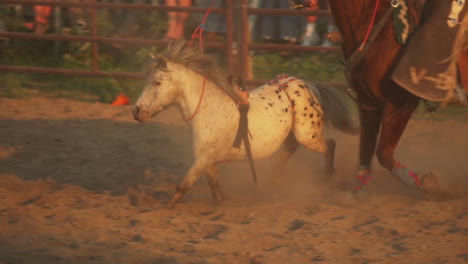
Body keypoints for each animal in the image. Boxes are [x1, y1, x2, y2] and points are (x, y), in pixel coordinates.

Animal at [133, 40, 356, 208]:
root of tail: (310, 85)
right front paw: (221, 201)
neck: (209, 109)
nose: (136, 112)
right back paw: (270, 186)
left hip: (307, 134)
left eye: (157, 82)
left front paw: (166, 208)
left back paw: (329, 178)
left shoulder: (202, 159)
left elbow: (184, 185)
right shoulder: (208, 160)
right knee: (289, 151)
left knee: (329, 145)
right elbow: (213, 184)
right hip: (294, 135)